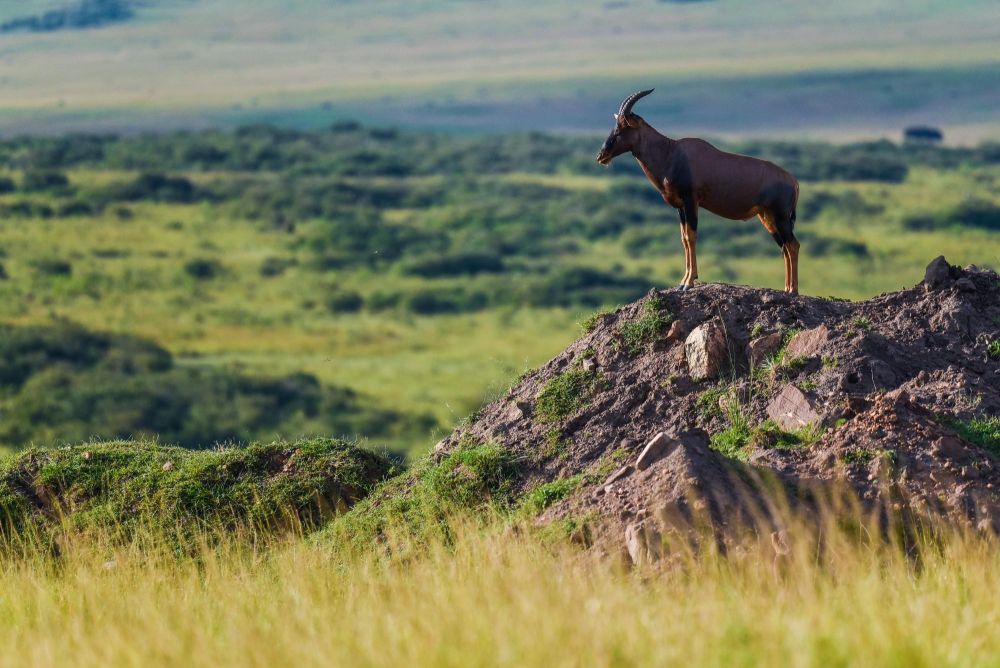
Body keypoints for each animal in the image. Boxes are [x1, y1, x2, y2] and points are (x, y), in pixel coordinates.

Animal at [592, 90, 804, 294]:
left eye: (621, 129)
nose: (601, 156)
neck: (672, 153)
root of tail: (793, 181)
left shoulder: (691, 200)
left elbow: (691, 236)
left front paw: (688, 283)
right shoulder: (680, 206)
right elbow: (684, 238)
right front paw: (684, 281)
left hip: (781, 217)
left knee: (793, 245)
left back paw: (793, 291)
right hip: (768, 218)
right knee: (784, 247)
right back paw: (786, 288)